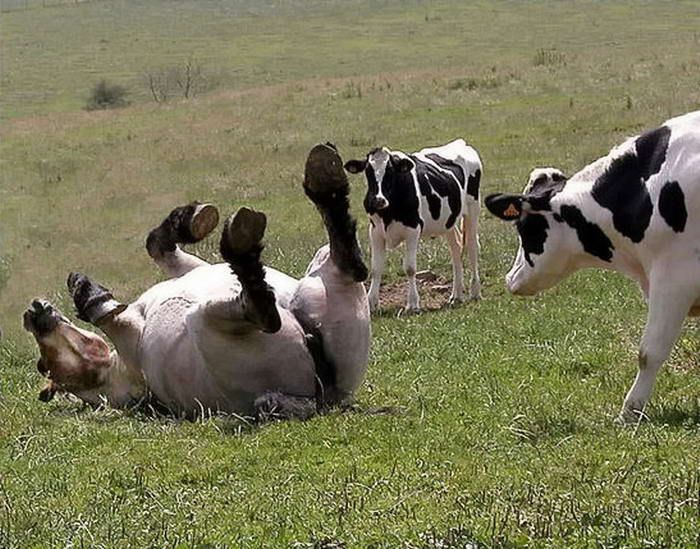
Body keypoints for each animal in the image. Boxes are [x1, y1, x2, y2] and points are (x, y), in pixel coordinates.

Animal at [344, 139, 482, 312]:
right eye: (368, 171)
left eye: (390, 171)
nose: (378, 200)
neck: (388, 212)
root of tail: (461, 143)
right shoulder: (375, 231)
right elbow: (376, 268)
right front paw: (371, 303)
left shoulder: (413, 230)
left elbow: (410, 268)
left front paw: (412, 304)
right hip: (448, 220)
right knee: (456, 248)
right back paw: (456, 295)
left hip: (472, 208)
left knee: (472, 247)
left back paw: (475, 292)